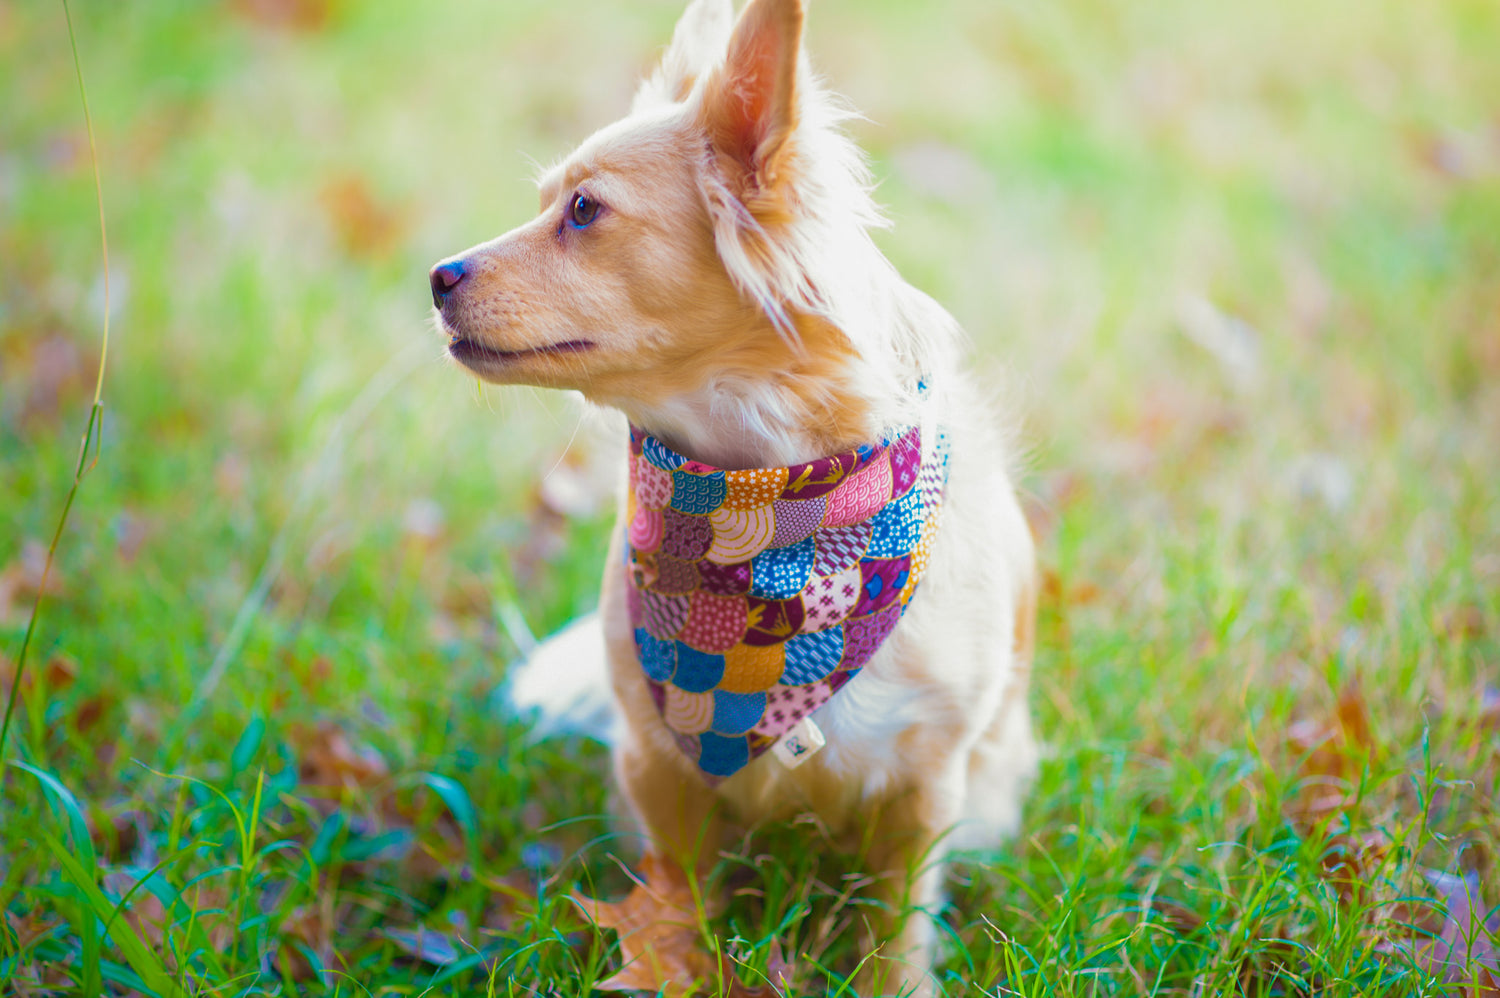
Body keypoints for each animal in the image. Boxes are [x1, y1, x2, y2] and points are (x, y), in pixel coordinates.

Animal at [435, 0, 1038, 984]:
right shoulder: (654, 762)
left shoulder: (926, 785)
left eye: (583, 211)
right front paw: (675, 970)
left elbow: (896, 922)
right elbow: (677, 902)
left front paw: (897, 980)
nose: (436, 277)